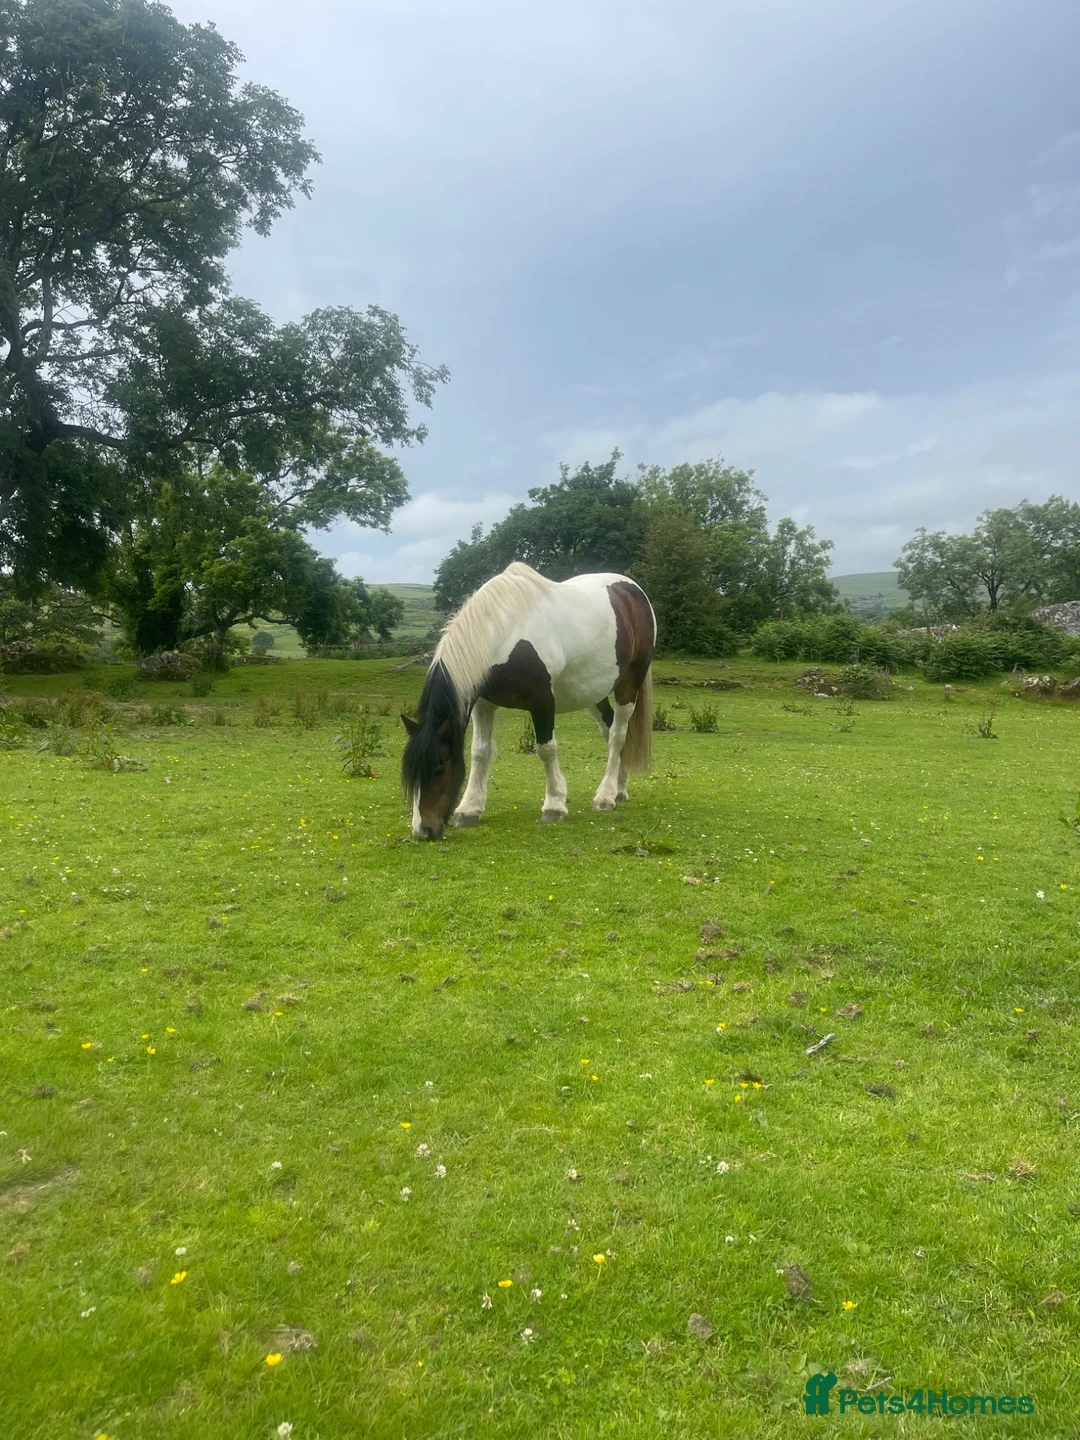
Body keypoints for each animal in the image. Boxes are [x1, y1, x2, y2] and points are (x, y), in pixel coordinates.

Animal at [401, 562, 655, 840]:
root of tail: (632, 590)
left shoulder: (542, 700)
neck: (505, 632)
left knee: (618, 735)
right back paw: (619, 788)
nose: (422, 830)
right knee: (609, 730)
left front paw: (554, 805)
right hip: (593, 691)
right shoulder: (483, 703)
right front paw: (469, 809)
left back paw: (605, 796)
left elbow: (546, 749)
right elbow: (480, 751)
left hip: (628, 685)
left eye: (439, 768)